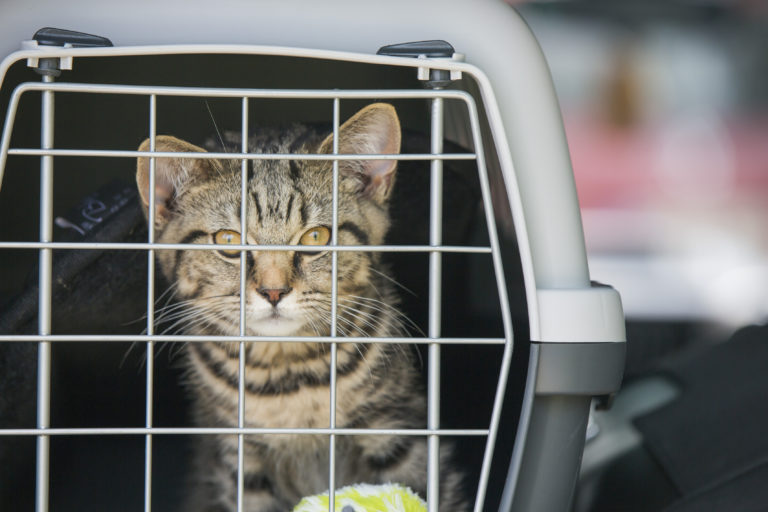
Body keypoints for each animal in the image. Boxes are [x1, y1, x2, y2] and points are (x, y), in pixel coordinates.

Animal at [135, 102, 464, 510]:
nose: (274, 291)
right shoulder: (237, 459)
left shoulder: (398, 429)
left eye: (316, 237)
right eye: (228, 240)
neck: (288, 370)